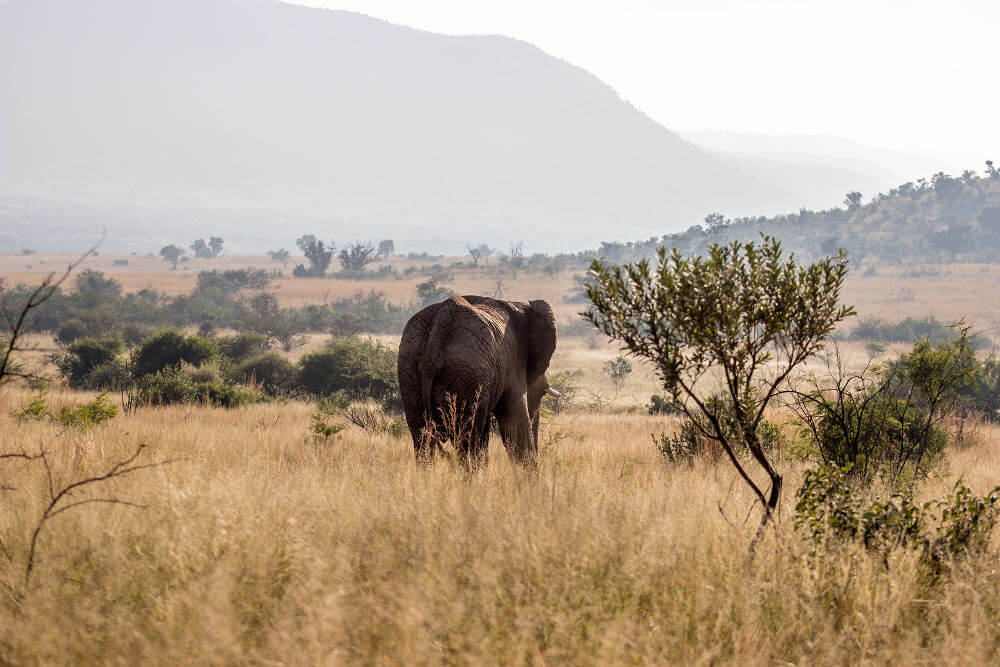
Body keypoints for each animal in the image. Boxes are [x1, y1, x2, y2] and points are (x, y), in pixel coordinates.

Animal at [396, 294, 560, 468]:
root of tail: (438, 332)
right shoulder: (513, 364)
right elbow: (514, 423)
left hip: (410, 366)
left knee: (422, 436)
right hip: (467, 369)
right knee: (467, 438)